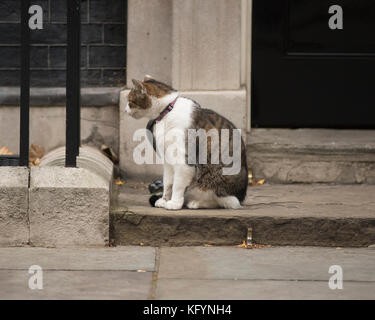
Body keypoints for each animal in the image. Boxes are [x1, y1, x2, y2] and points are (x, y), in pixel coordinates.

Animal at [127, 75, 250, 210]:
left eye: (129, 101)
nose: (125, 109)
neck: (167, 111)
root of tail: (241, 196)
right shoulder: (168, 160)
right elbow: (168, 183)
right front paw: (164, 200)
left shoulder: (183, 161)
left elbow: (177, 185)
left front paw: (174, 203)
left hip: (216, 179)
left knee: (226, 201)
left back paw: (196, 203)